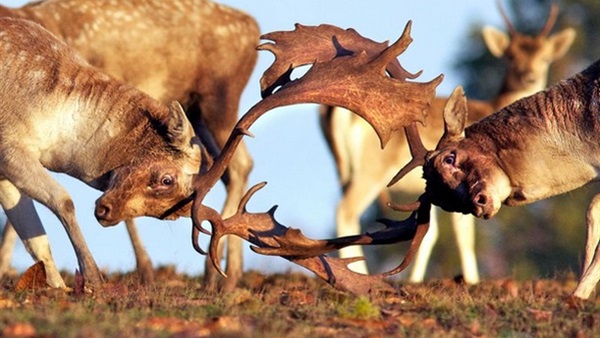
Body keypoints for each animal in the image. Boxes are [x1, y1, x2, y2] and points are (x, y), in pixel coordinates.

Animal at [0, 0, 260, 290]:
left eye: (171, 213)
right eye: (167, 180)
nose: (105, 211)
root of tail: (253, 27)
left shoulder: (11, 154)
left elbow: (38, 228)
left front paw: (68, 284)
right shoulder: (10, 148)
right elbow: (49, 216)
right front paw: (84, 280)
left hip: (218, 101)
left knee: (240, 166)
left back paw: (220, 277)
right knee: (237, 167)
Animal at [318, 1, 576, 282]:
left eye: (545, 58)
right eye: (510, 56)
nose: (529, 76)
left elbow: (431, 232)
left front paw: (415, 279)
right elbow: (465, 234)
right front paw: (472, 280)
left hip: (342, 169)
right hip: (372, 168)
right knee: (346, 209)